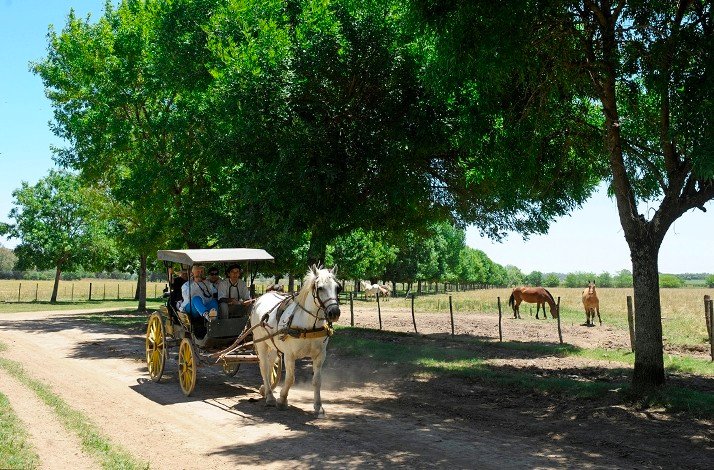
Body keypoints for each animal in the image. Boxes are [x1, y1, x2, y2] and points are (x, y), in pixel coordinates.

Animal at [249, 265, 341, 416]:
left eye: (337, 288)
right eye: (320, 288)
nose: (334, 312)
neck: (308, 324)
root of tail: (260, 298)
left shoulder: (320, 355)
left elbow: (317, 380)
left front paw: (318, 406)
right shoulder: (289, 355)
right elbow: (290, 378)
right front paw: (282, 400)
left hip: (273, 345)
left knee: (270, 364)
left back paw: (266, 390)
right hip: (261, 342)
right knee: (264, 366)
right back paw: (270, 396)